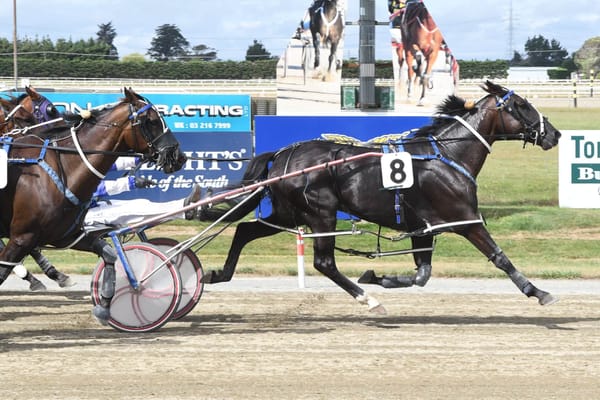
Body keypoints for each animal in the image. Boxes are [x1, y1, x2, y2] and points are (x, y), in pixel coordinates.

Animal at [0, 88, 186, 324]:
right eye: (152, 120)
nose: (179, 157)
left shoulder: (66, 235)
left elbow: (109, 254)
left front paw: (104, 305)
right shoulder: (22, 237)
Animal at [202, 81, 564, 312]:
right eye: (521, 105)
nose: (555, 133)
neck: (448, 156)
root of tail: (282, 154)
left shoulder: (424, 227)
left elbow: (422, 275)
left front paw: (379, 276)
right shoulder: (465, 219)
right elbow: (500, 257)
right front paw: (539, 291)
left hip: (287, 212)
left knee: (245, 230)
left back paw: (217, 274)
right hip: (320, 213)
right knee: (323, 262)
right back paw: (368, 300)